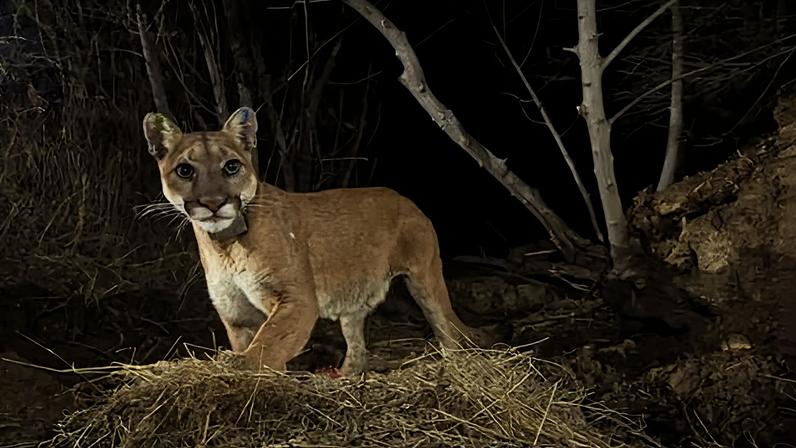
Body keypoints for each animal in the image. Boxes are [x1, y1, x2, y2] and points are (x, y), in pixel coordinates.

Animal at [142, 106, 499, 376]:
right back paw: (343, 376)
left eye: (231, 166)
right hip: (354, 298)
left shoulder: (296, 299)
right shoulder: (236, 314)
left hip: (425, 278)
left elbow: (267, 346)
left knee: (447, 329)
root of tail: (403, 197)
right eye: (185, 170)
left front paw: (240, 370)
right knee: (357, 344)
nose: (214, 203)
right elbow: (261, 346)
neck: (224, 244)